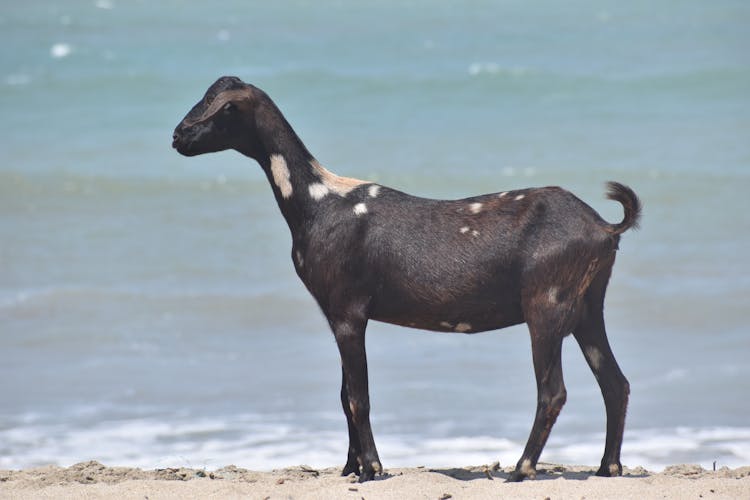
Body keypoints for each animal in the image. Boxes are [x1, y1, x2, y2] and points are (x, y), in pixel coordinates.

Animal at [173, 76, 644, 482]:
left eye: (223, 108)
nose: (178, 137)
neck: (319, 203)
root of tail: (603, 226)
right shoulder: (336, 314)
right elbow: (344, 395)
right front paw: (349, 468)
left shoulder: (349, 310)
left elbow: (358, 397)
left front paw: (371, 469)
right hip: (588, 304)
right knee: (615, 383)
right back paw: (608, 467)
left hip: (546, 302)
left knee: (553, 391)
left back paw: (521, 469)